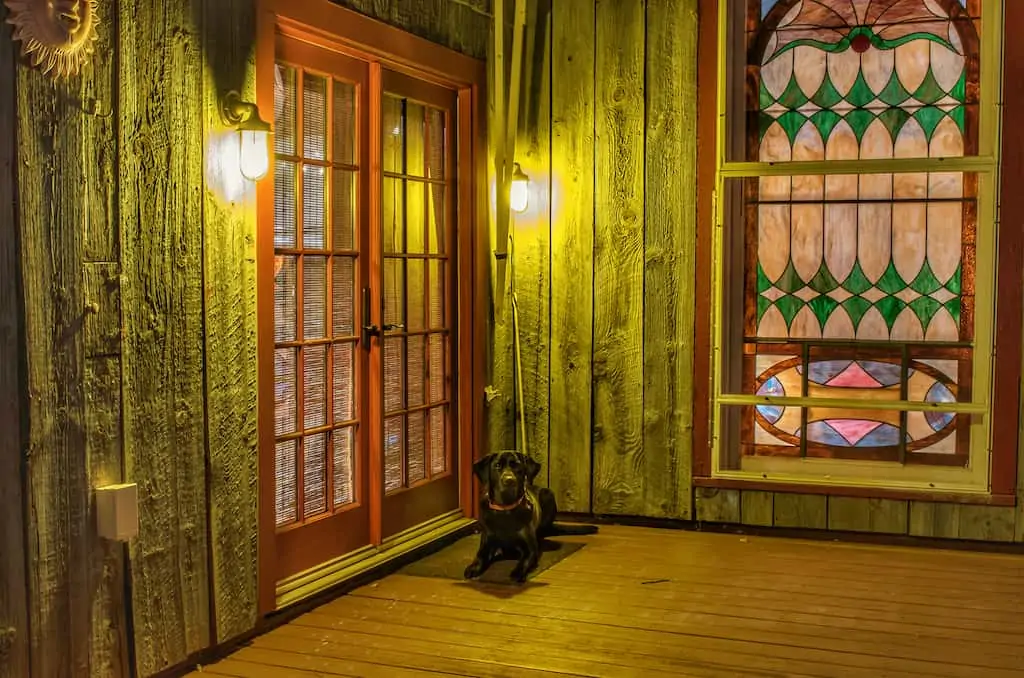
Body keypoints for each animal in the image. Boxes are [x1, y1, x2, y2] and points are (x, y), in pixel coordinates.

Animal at [466, 450, 598, 585]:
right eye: (497, 466)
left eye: (517, 466)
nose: (509, 480)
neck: (506, 509)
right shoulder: (487, 542)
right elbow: (480, 556)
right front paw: (473, 567)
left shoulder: (530, 549)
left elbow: (524, 561)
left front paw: (517, 573)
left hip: (548, 494)